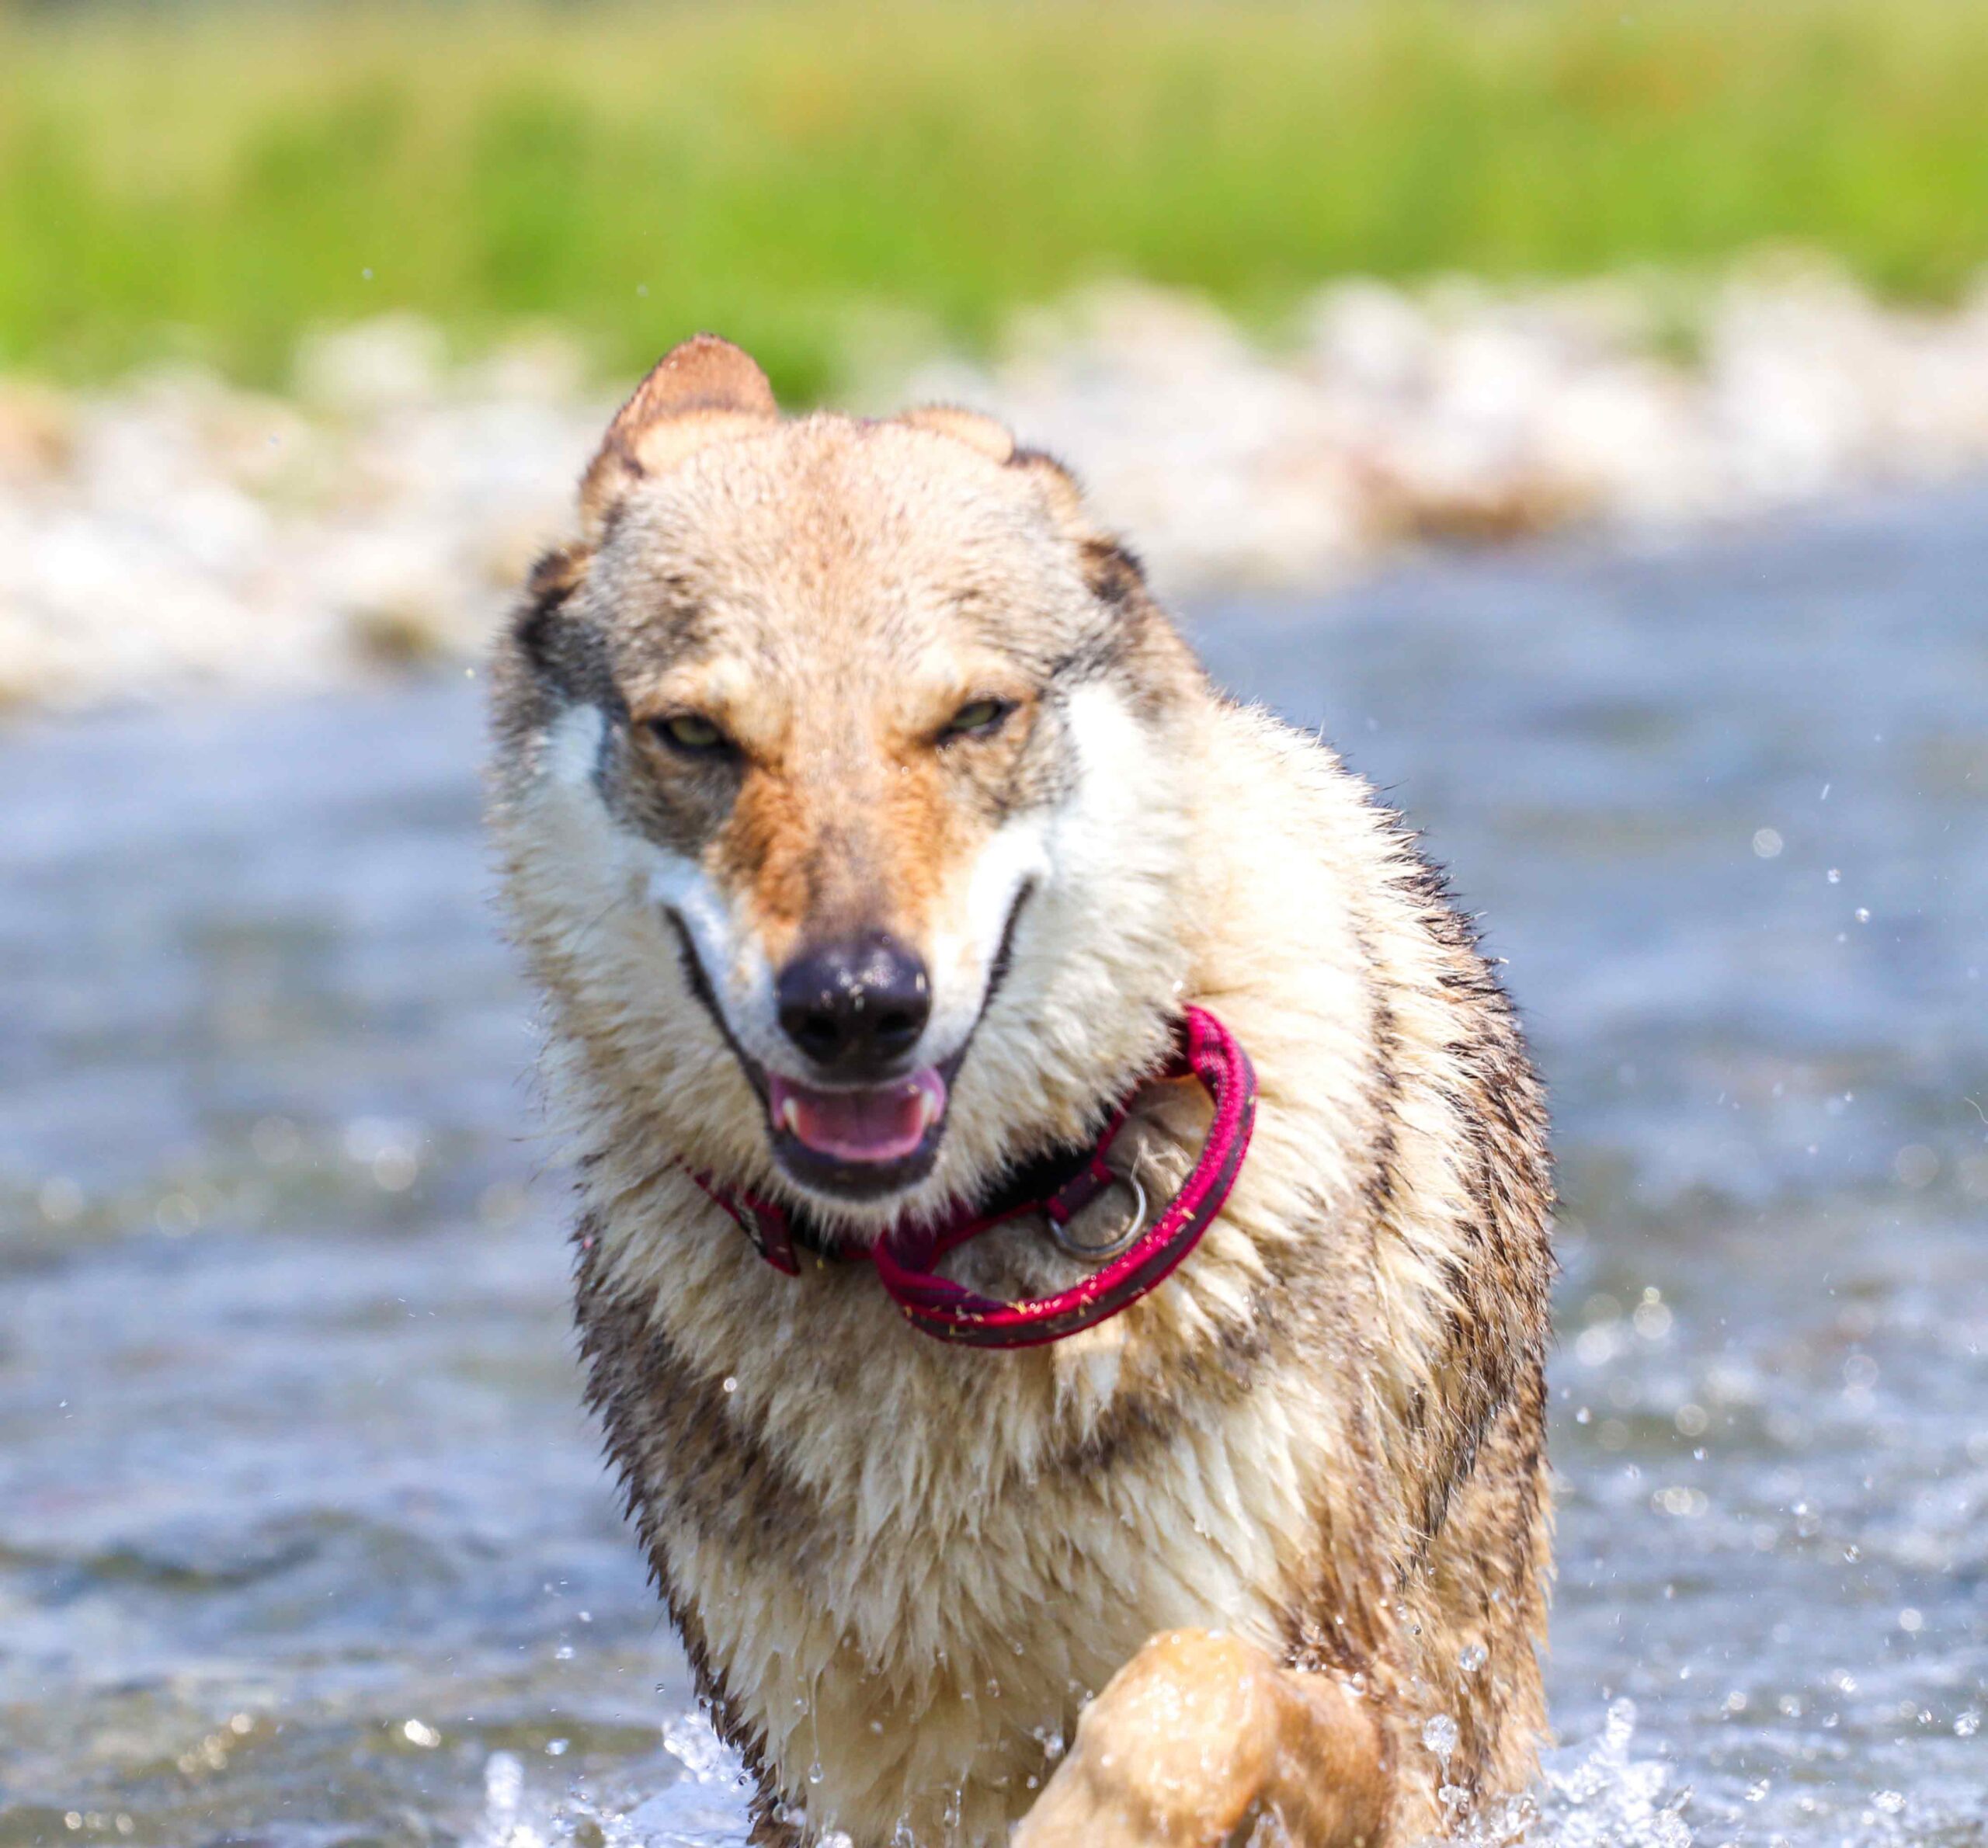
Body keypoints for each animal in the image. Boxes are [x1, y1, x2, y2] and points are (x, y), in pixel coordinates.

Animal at [487, 335, 1554, 1847]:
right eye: (694, 735)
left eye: (971, 720)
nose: (855, 1007)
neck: (945, 1255)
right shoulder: (812, 1775)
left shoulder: (1369, 1716)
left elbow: (1181, 1703)